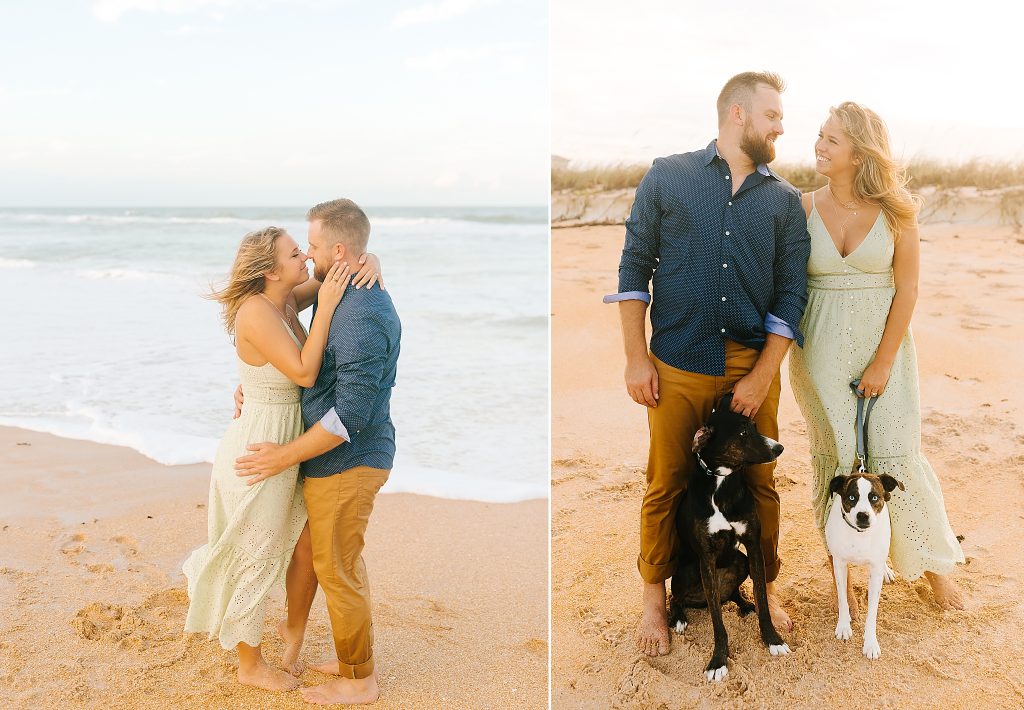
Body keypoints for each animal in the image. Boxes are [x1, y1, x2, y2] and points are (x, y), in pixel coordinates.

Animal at [663, 393, 790, 680]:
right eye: (742, 432)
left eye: (754, 426)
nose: (779, 448)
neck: (722, 481)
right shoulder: (706, 558)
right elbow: (717, 623)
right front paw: (718, 661)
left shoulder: (753, 546)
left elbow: (763, 599)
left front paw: (772, 640)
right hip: (687, 569)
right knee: (677, 598)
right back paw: (678, 618)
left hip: (740, 561)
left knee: (731, 594)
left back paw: (744, 605)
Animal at [823, 471, 905, 659]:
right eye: (851, 497)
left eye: (874, 497)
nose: (863, 515)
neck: (860, 534)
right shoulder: (840, 564)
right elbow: (843, 597)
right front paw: (844, 625)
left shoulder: (874, 572)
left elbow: (872, 611)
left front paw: (870, 643)